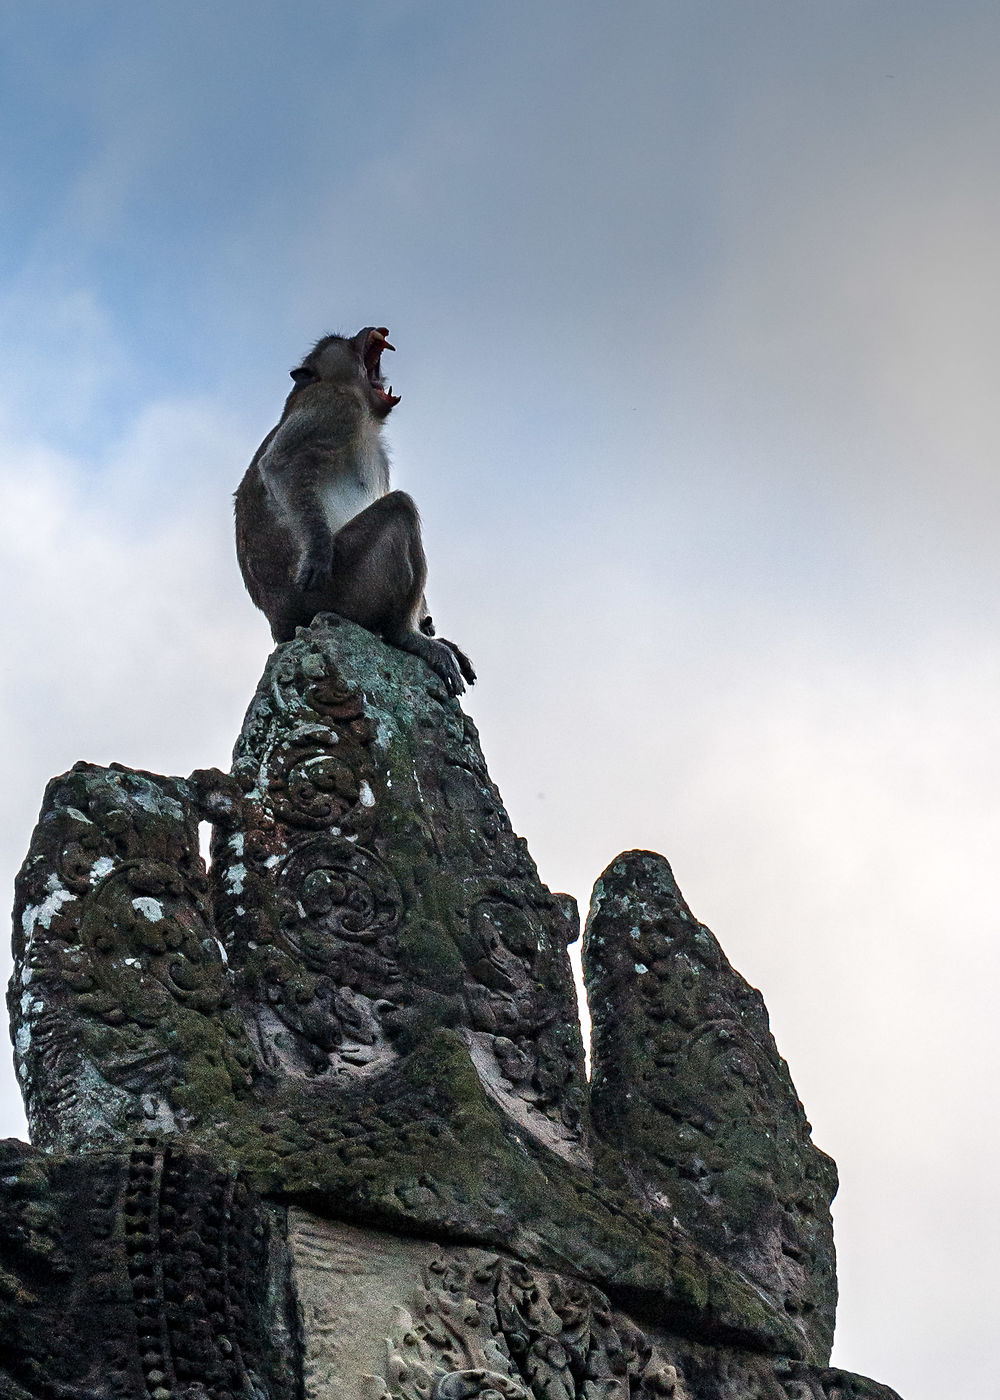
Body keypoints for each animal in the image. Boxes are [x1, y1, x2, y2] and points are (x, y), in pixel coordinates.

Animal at [239, 329, 476, 700]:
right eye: (343, 340)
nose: (368, 331)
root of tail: (282, 622)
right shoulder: (332, 406)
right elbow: (280, 464)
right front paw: (318, 550)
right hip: (341, 590)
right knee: (401, 508)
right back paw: (405, 635)